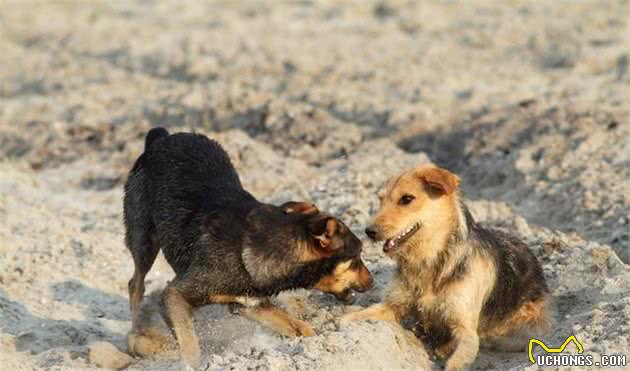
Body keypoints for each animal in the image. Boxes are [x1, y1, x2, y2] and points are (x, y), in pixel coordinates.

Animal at [122, 128, 376, 370]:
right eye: (357, 257)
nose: (373, 282)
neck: (271, 244)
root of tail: (161, 138)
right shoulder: (174, 296)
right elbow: (189, 343)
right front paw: (189, 365)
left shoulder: (251, 305)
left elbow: (298, 326)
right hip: (144, 238)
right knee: (135, 284)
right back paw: (136, 335)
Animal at [346, 166, 552, 371]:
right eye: (381, 200)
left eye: (407, 199)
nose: (369, 232)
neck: (430, 260)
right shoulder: (393, 305)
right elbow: (356, 317)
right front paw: (344, 324)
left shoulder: (466, 329)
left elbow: (458, 359)